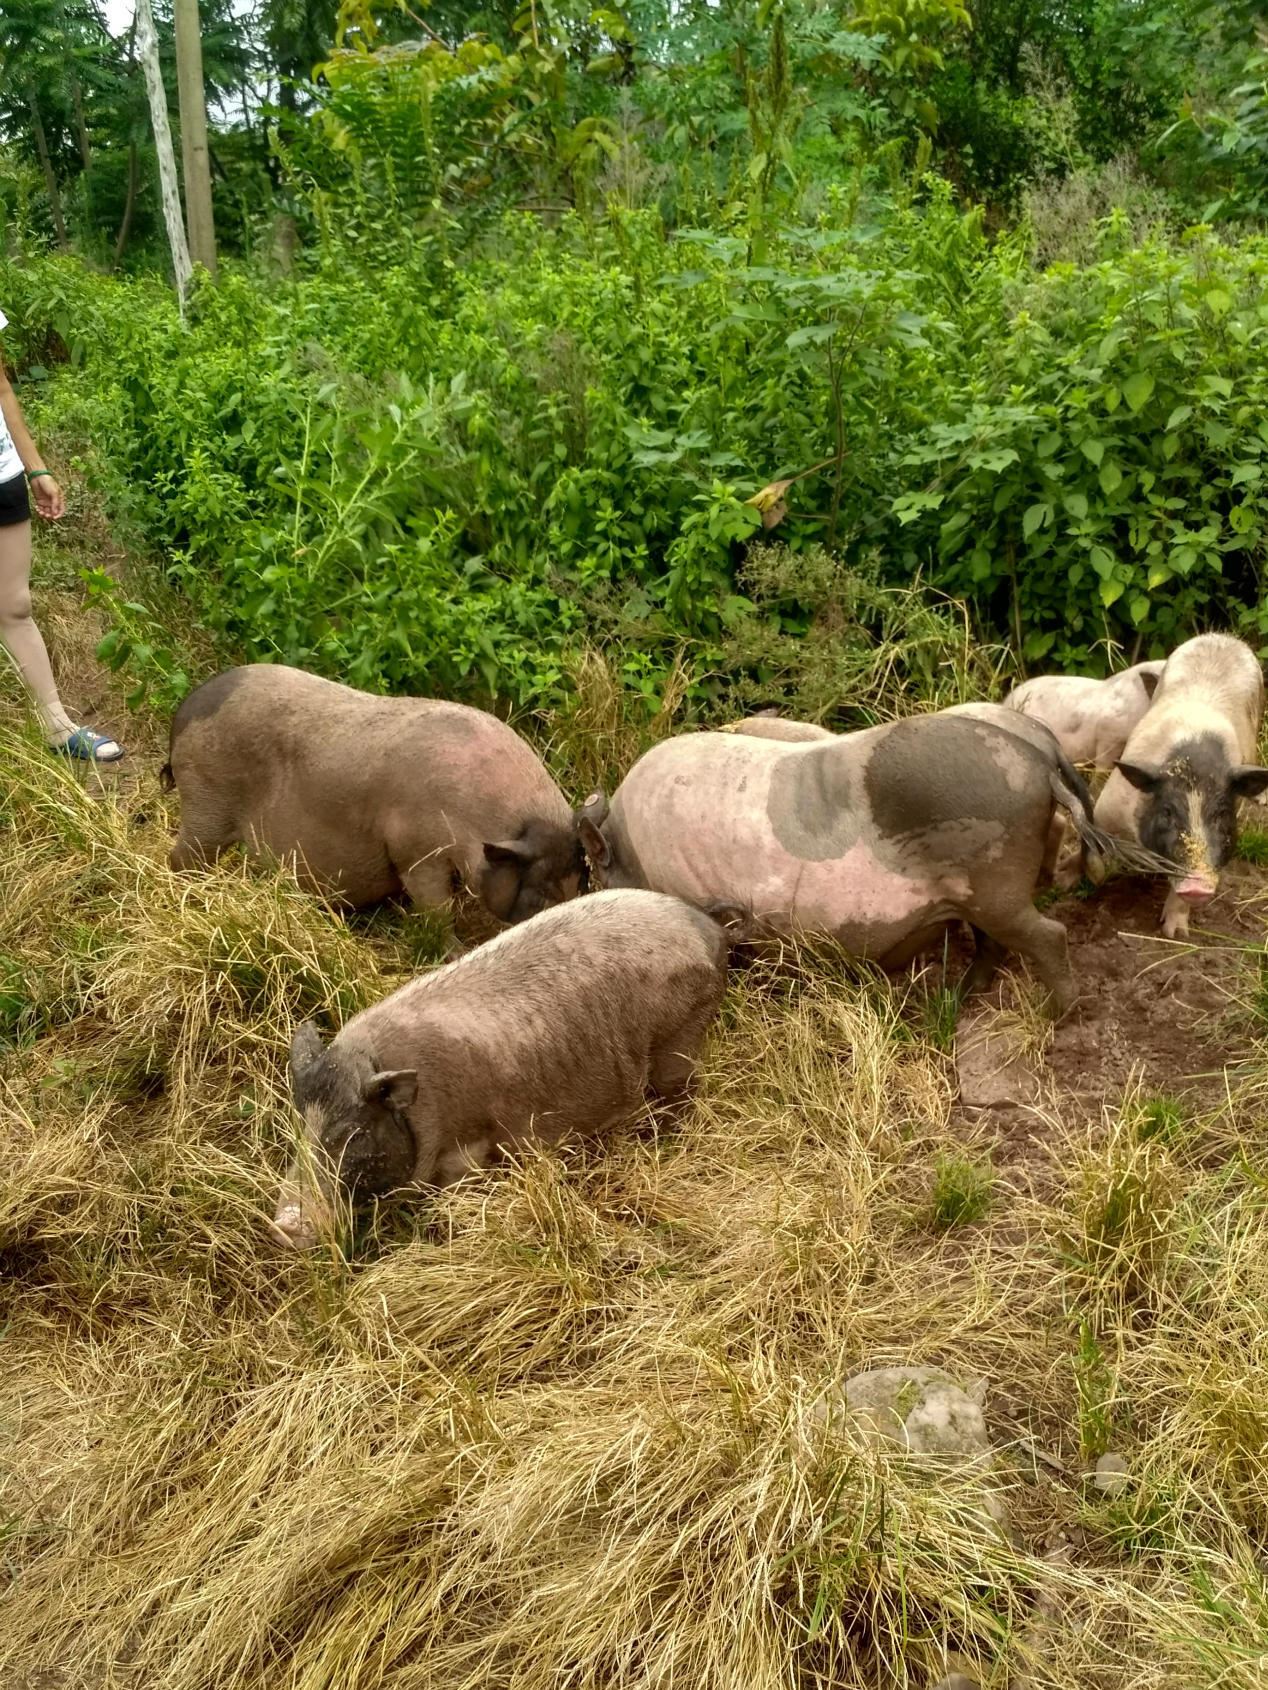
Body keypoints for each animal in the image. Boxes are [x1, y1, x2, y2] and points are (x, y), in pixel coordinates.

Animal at [159, 662, 591, 926]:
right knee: (180, 859)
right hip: (206, 800)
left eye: (581, 881)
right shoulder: (416, 852)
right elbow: (437, 912)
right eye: (538, 892)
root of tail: (184, 713)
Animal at [273, 892, 730, 1250]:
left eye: (352, 1134)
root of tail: (705, 925)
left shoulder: (467, 1153)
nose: (284, 1226)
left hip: (680, 1037)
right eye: (296, 1129)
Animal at [574, 706, 1102, 1007]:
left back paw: (1058, 1013)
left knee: (1047, 935)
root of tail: (1038, 758)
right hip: (979, 894)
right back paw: (957, 998)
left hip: (995, 884)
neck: (635, 855)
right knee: (995, 943)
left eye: (595, 876)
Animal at [1095, 628, 1268, 939]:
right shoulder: (1107, 807)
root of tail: (1224, 636)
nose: (1197, 884)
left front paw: (1175, 935)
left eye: (1222, 814)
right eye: (1167, 811)